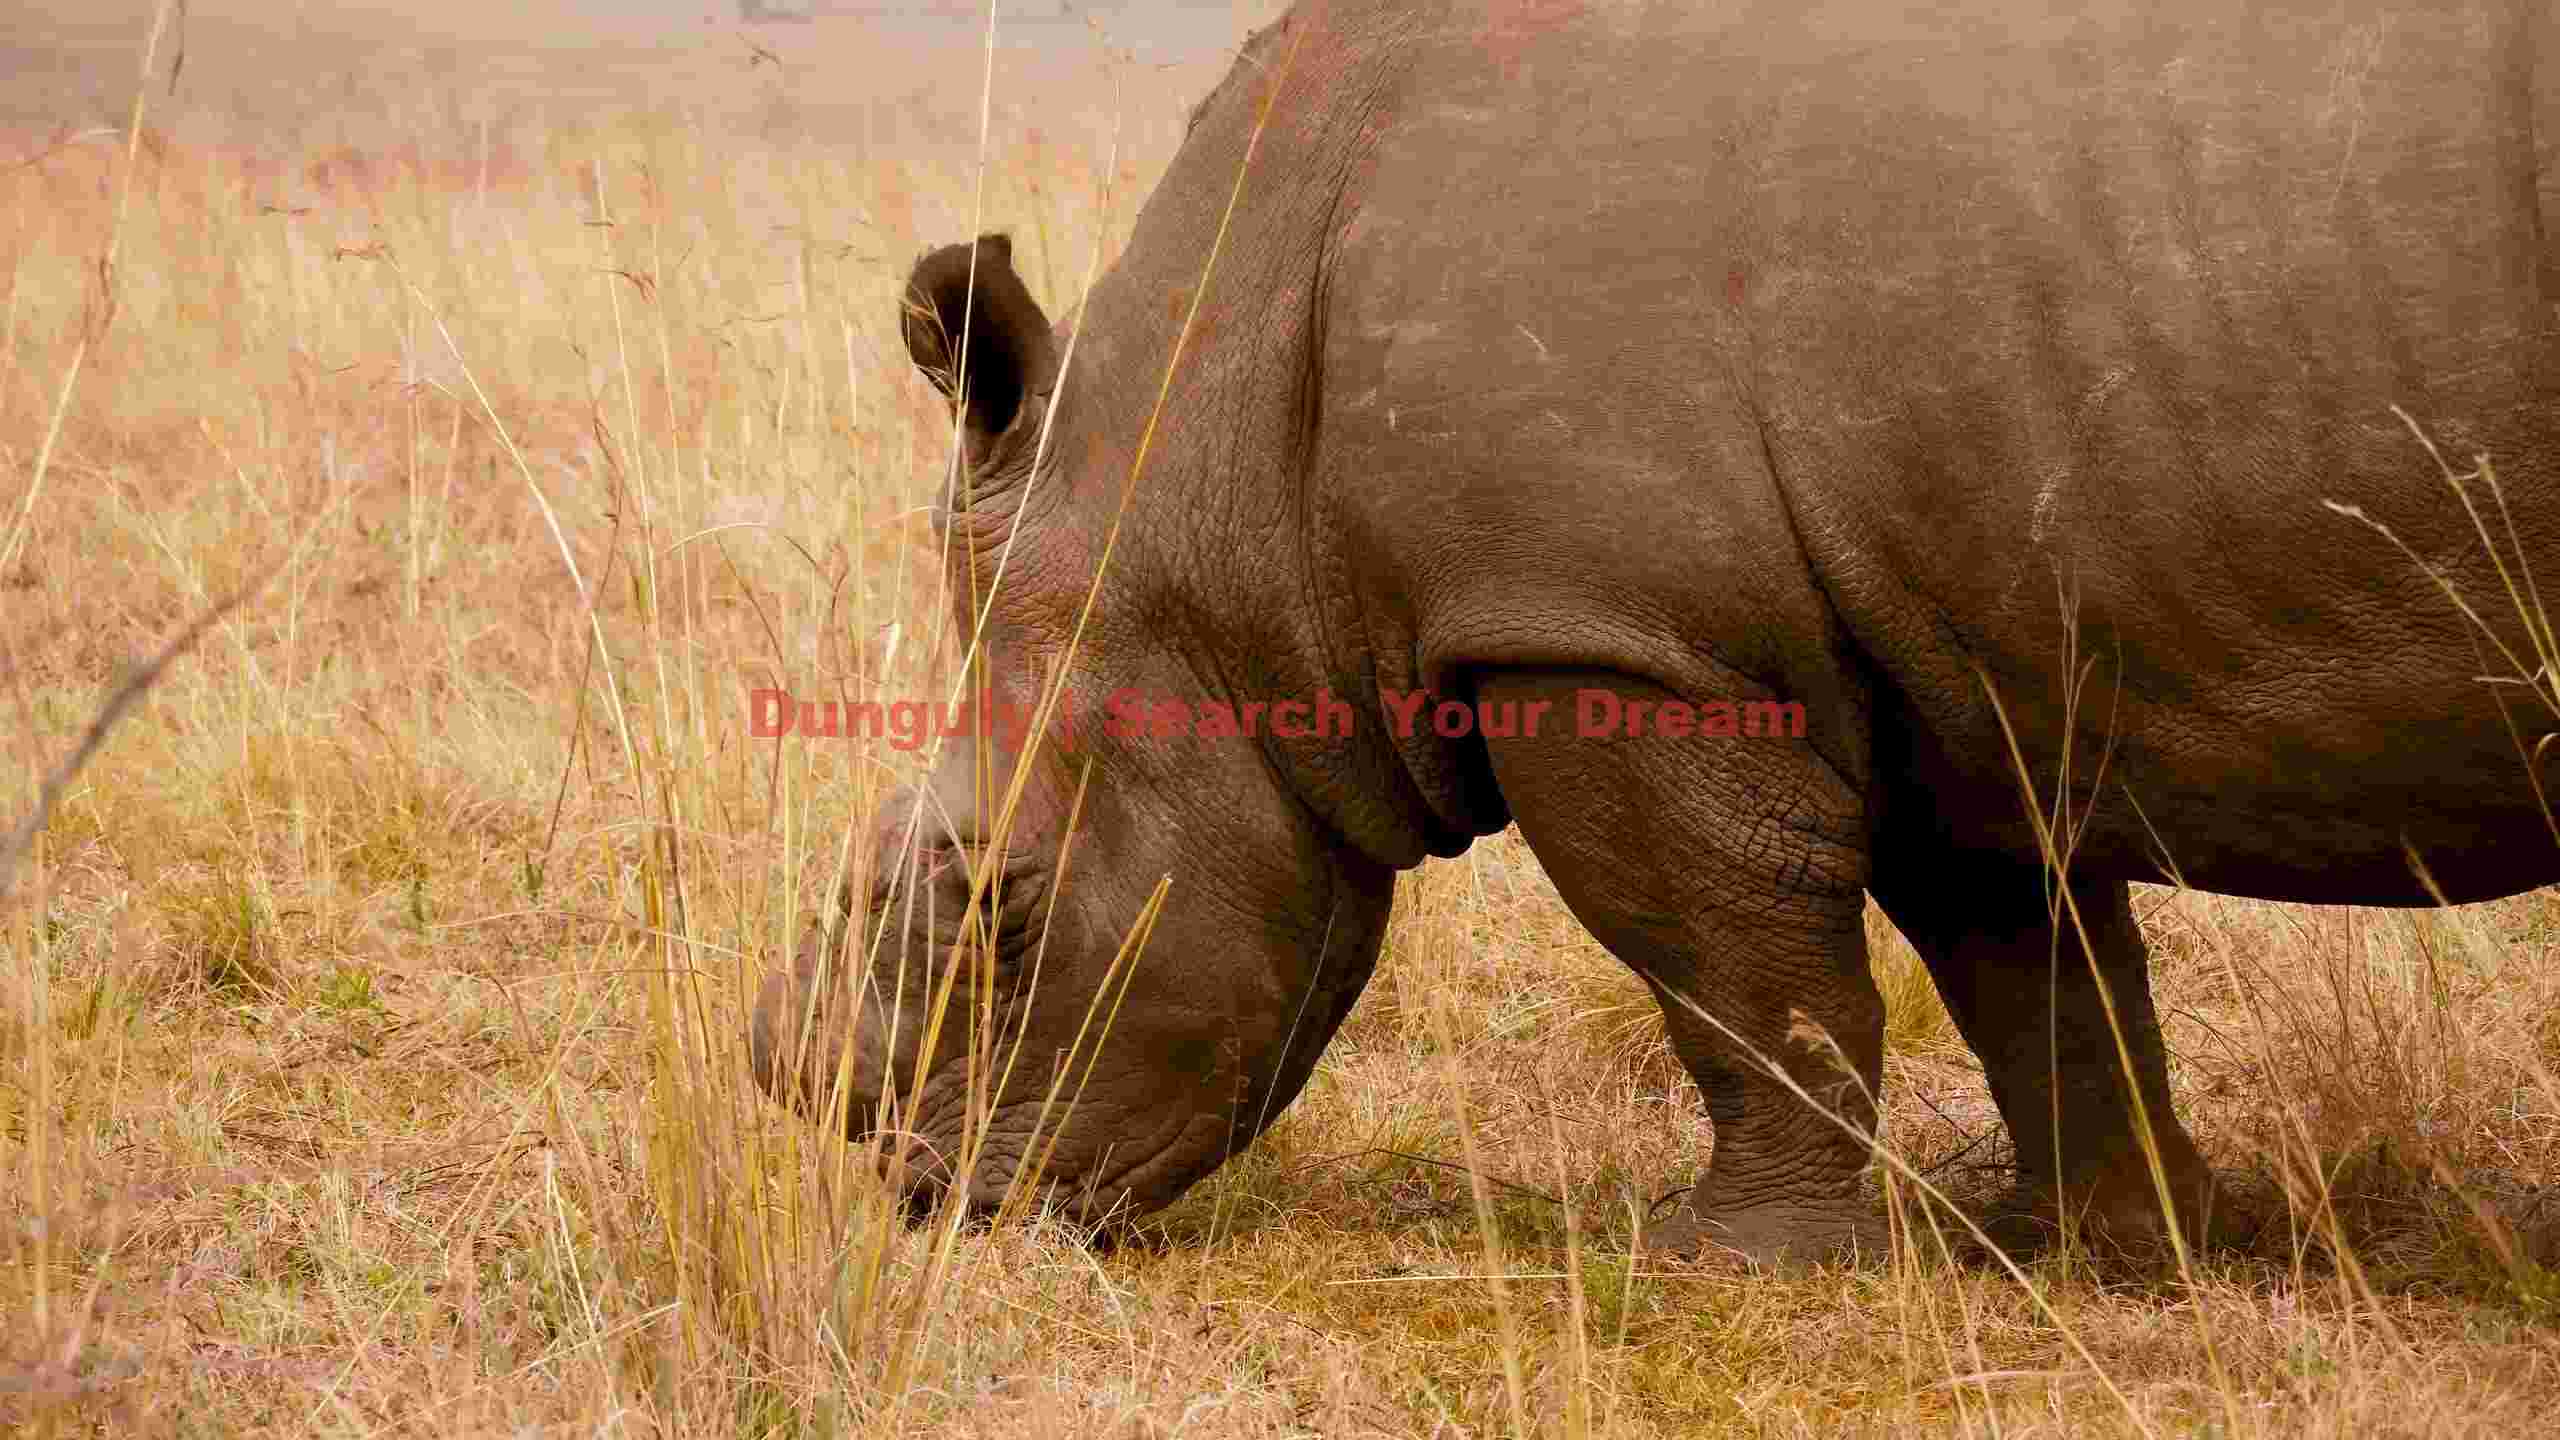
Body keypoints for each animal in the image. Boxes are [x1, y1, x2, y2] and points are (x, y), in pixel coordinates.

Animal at [750, 0, 2560, 1265]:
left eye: (996, 906)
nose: (929, 1209)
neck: (1212, 486)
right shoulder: (1936, 654)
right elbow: (2040, 977)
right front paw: (2121, 1251)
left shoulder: (1614, 638)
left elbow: (1728, 969)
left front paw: (1724, 1264)